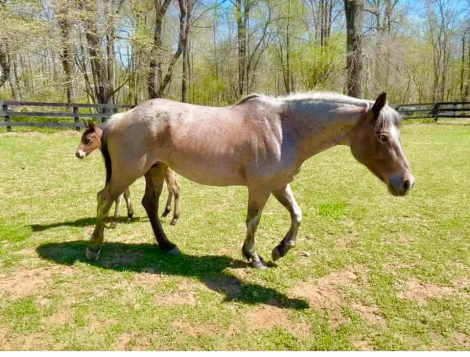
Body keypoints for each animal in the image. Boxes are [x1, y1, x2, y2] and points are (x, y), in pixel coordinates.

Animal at [85, 92, 414, 268]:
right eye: (383, 137)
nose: (407, 182)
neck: (283, 128)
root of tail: (119, 117)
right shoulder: (260, 188)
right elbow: (253, 221)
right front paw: (252, 256)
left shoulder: (279, 185)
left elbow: (297, 215)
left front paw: (281, 248)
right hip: (129, 172)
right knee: (104, 199)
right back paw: (94, 247)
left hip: (155, 169)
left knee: (149, 205)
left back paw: (167, 245)